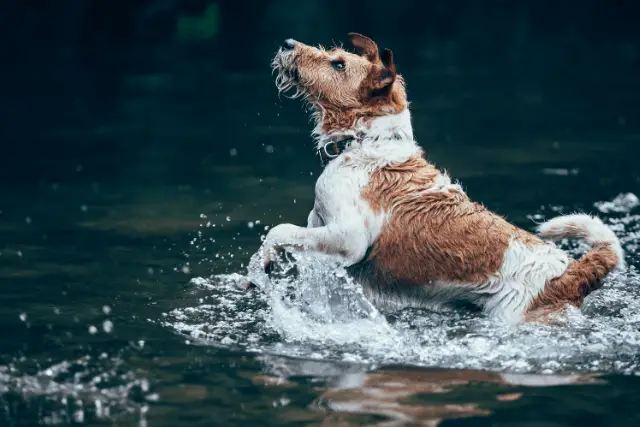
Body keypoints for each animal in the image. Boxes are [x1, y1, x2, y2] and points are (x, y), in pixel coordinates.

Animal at [248, 32, 624, 324]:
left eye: (338, 64)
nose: (287, 43)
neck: (369, 140)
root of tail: (570, 272)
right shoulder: (319, 225)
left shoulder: (348, 238)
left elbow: (279, 230)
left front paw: (260, 267)